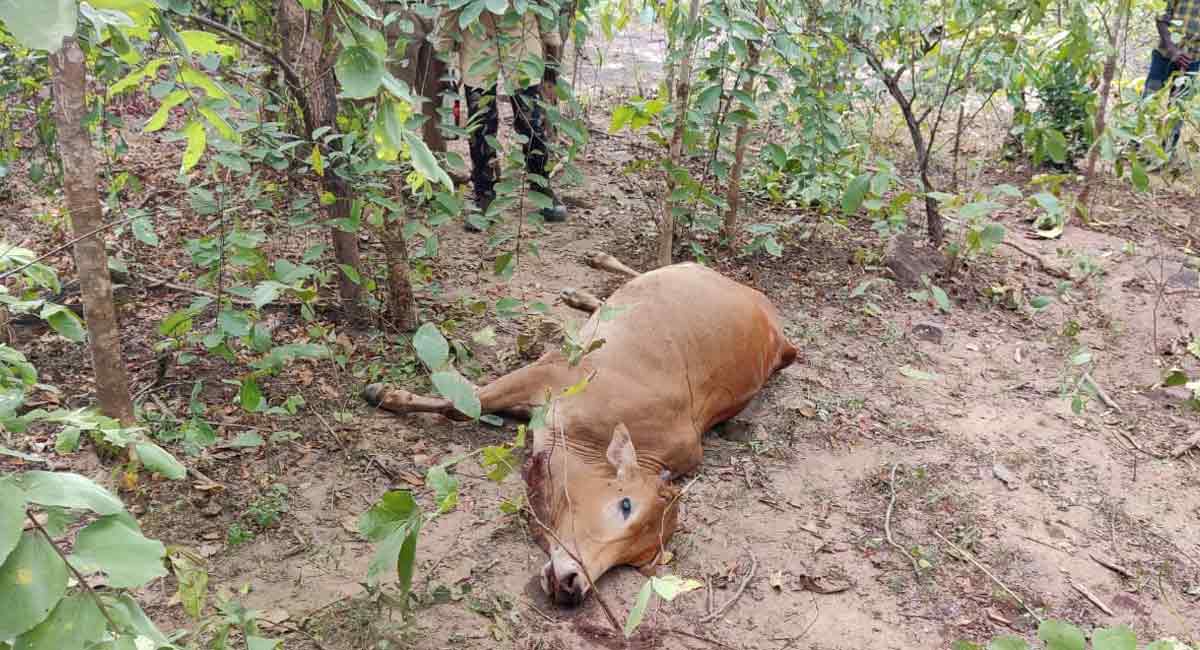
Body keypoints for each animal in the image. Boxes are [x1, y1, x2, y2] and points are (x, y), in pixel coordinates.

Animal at [362, 254, 797, 606]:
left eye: (638, 561)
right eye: (625, 505)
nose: (574, 585)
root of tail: (778, 331)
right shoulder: (553, 369)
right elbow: (463, 404)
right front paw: (385, 394)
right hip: (685, 269)